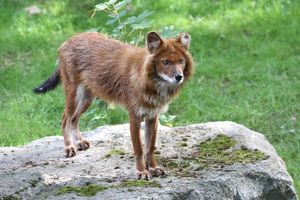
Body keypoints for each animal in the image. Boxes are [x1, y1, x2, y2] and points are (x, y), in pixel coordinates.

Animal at [34, 31, 193, 180]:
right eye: (165, 62)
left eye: (181, 61)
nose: (179, 77)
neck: (151, 82)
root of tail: (70, 39)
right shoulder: (134, 117)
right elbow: (139, 150)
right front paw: (141, 172)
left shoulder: (152, 117)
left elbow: (150, 148)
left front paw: (153, 168)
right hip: (74, 94)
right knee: (65, 118)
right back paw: (69, 147)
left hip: (87, 98)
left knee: (73, 119)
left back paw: (79, 142)